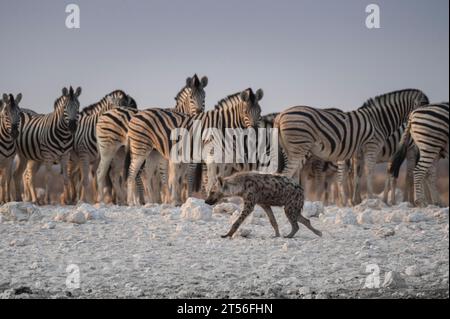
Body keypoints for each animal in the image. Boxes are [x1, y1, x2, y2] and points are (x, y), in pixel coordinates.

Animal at [96, 74, 208, 205]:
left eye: (204, 96)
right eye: (191, 97)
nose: (199, 112)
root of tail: (106, 113)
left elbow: (178, 177)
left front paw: (178, 200)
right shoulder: (167, 156)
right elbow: (170, 177)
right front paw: (171, 200)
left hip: (120, 152)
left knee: (114, 174)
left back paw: (124, 201)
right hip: (108, 148)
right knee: (101, 172)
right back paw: (103, 201)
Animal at [125, 89, 264, 206]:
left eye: (260, 112)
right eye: (245, 112)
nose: (255, 131)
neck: (223, 125)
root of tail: (137, 114)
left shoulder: (222, 158)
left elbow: (220, 178)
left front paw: (221, 201)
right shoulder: (211, 156)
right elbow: (211, 179)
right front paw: (211, 200)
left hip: (154, 153)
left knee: (147, 175)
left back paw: (154, 202)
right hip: (140, 147)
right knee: (132, 172)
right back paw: (131, 202)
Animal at [274, 89, 428, 206]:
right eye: (424, 105)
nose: (422, 123)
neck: (378, 120)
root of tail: (280, 116)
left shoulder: (358, 153)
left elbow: (357, 175)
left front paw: (356, 201)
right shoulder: (372, 147)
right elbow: (369, 172)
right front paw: (372, 199)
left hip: (291, 151)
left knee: (292, 175)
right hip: (299, 148)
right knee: (287, 174)